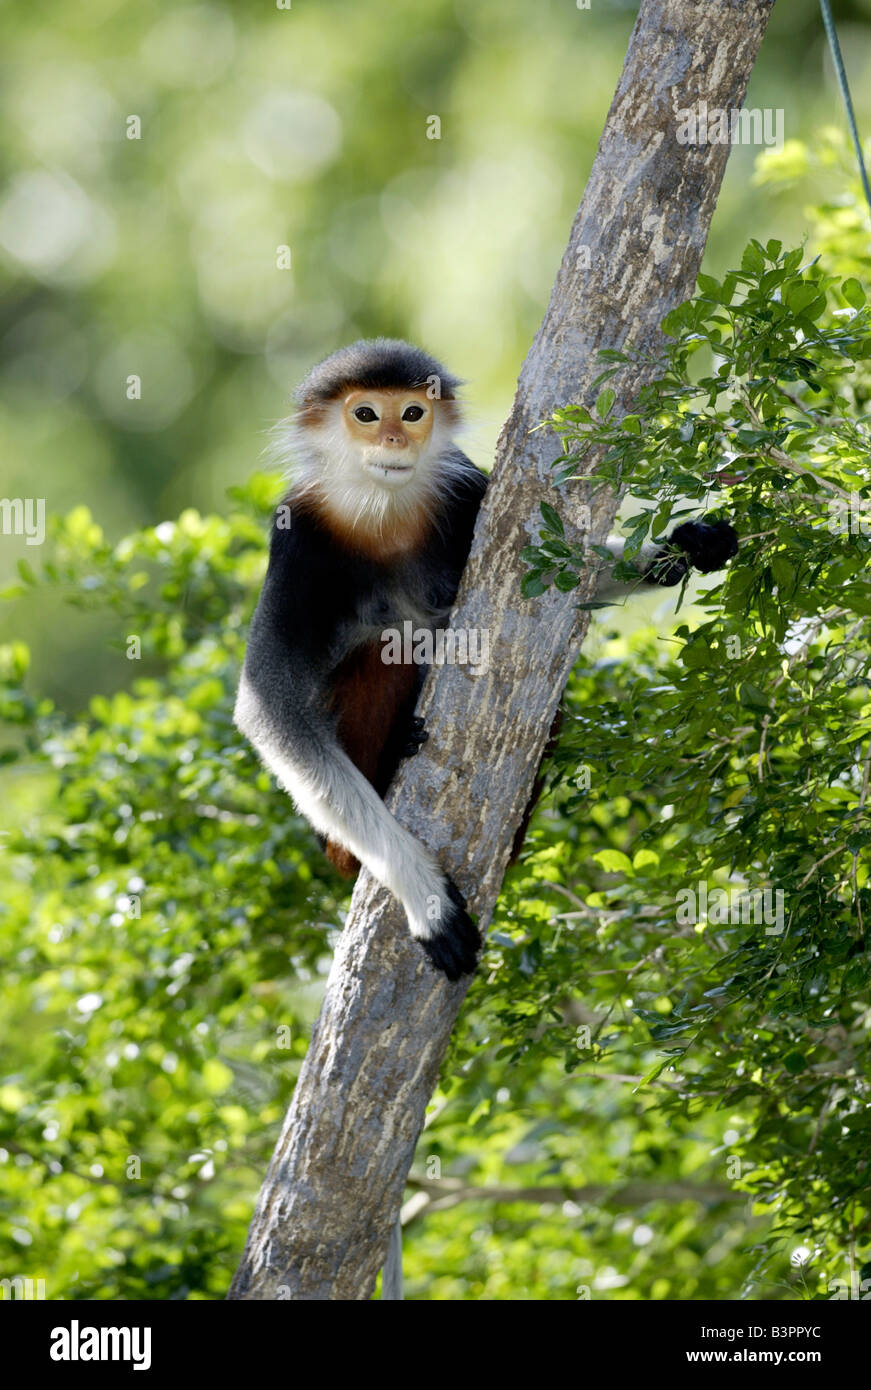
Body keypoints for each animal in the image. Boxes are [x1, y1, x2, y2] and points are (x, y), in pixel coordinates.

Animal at [234, 339, 739, 978]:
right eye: (366, 414)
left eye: (413, 414)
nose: (394, 440)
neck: (383, 507)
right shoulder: (298, 538)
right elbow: (270, 708)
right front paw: (424, 894)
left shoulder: (468, 489)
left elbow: (570, 574)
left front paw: (683, 547)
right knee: (386, 645)